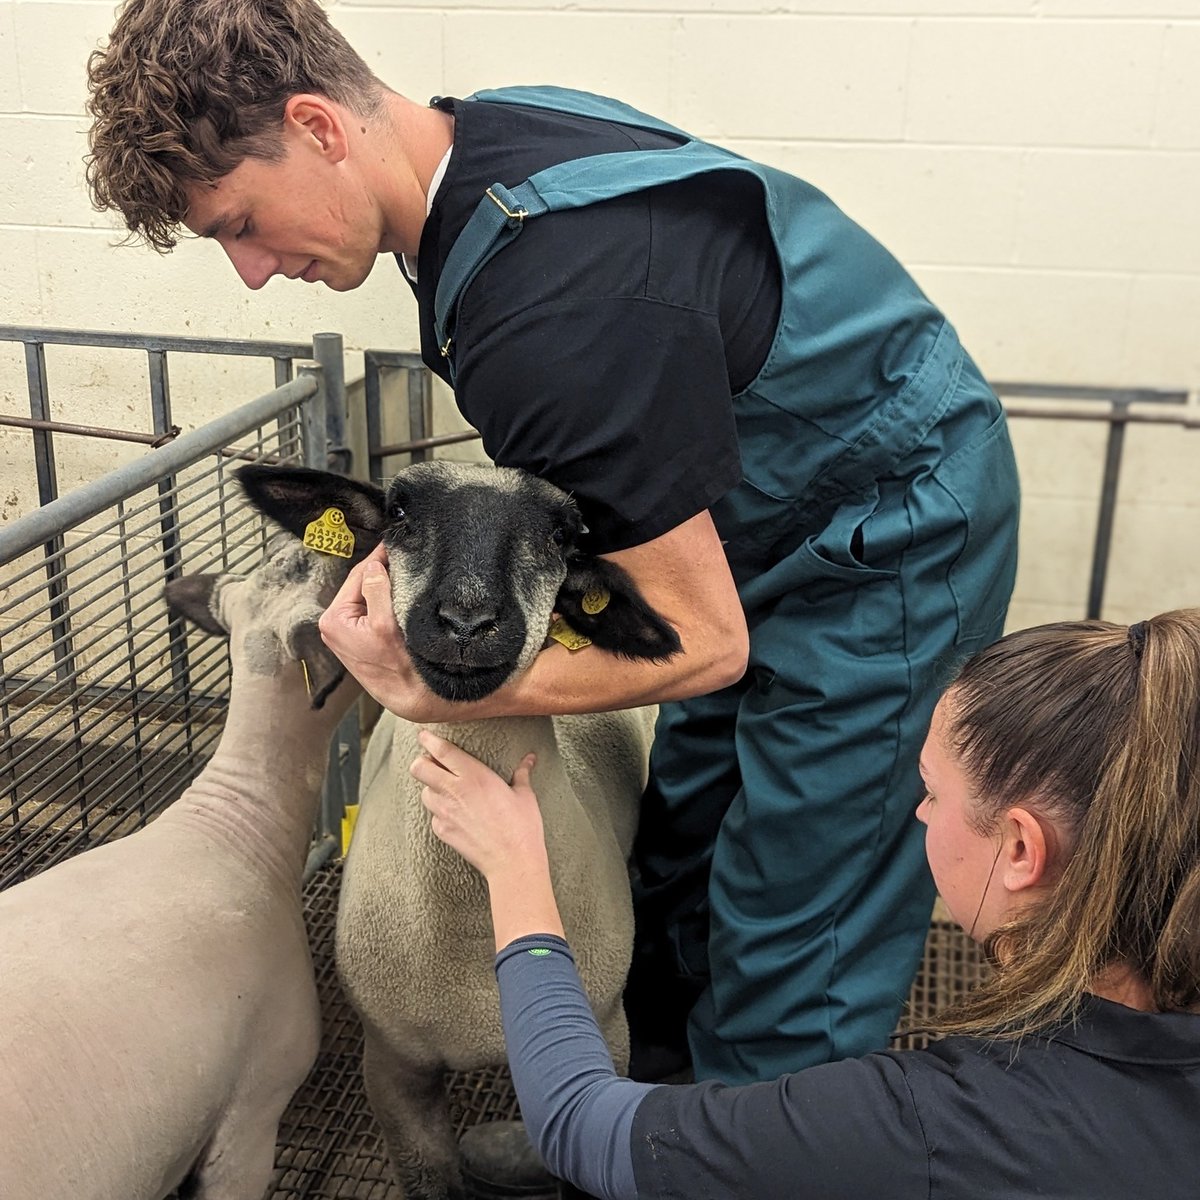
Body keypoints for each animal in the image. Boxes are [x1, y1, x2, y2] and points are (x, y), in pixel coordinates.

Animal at [238, 460, 681, 1200]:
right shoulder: (393, 1067)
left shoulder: (605, 1037)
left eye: (563, 534)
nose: (466, 623)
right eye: (398, 511)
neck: (474, 928)